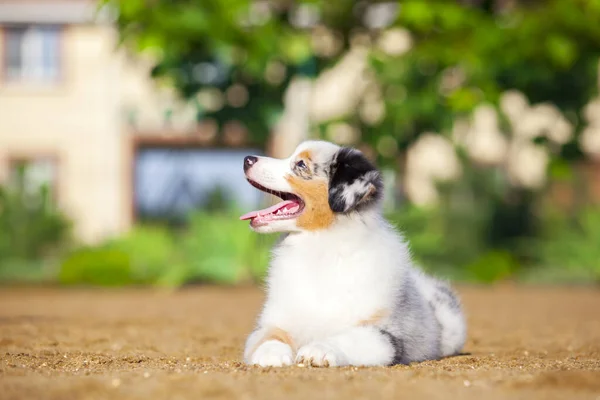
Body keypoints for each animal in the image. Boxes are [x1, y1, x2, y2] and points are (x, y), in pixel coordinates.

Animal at [240, 140, 468, 366]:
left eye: (301, 165)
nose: (247, 159)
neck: (320, 247)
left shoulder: (383, 335)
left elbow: (347, 338)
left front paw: (319, 350)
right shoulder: (275, 321)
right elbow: (268, 336)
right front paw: (270, 355)